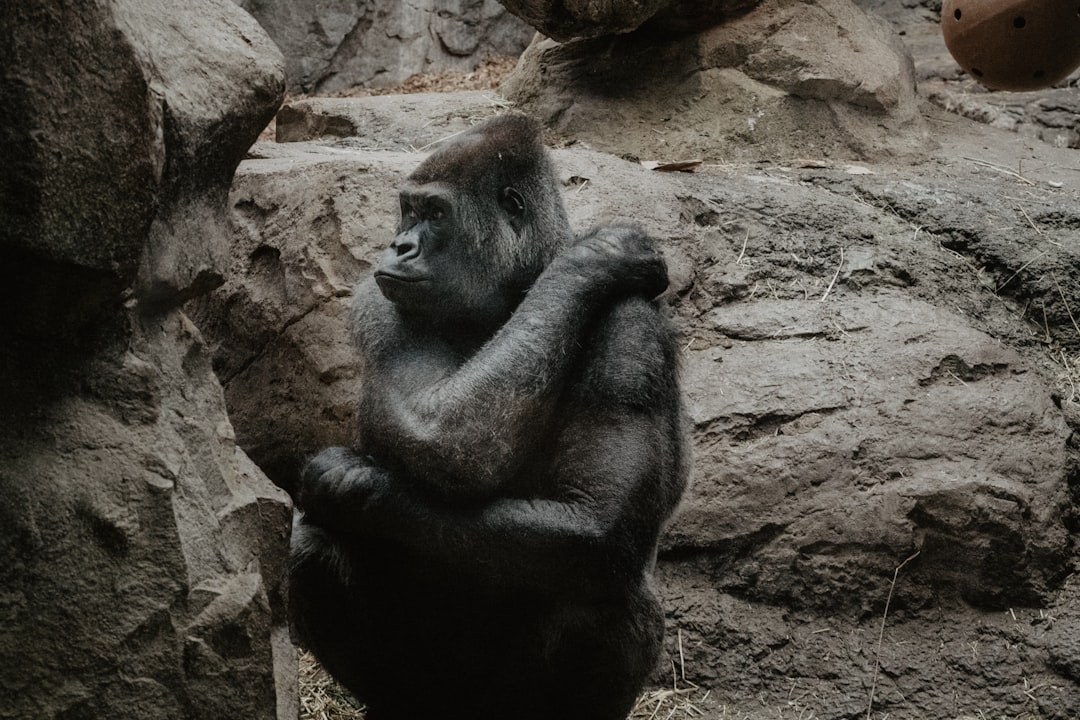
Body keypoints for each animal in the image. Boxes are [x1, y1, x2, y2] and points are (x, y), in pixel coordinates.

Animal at [291, 113, 686, 720]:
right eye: (407, 210)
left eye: (434, 214)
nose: (399, 245)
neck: (510, 293)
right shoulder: (381, 303)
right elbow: (438, 431)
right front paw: (595, 259)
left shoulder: (632, 327)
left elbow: (598, 520)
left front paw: (352, 481)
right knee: (313, 551)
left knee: (600, 586)